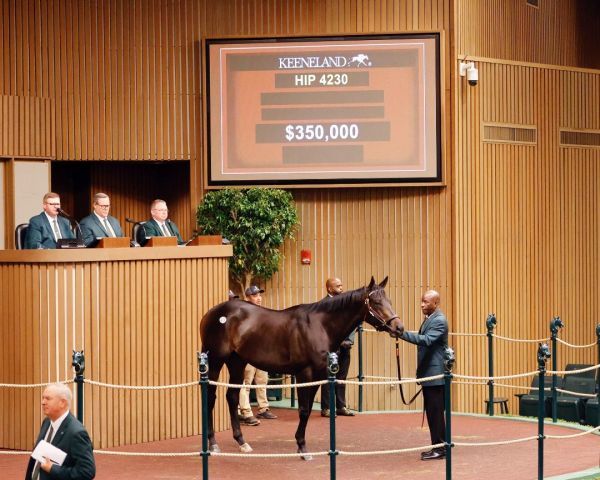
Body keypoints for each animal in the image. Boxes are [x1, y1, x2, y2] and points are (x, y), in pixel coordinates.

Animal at [200, 278, 404, 458]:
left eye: (389, 301)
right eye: (376, 302)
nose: (399, 328)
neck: (319, 326)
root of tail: (211, 313)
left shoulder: (318, 376)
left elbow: (306, 410)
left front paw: (301, 443)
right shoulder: (304, 374)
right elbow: (304, 410)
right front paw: (302, 448)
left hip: (237, 362)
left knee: (232, 397)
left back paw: (242, 442)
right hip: (216, 361)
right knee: (210, 397)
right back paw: (213, 444)